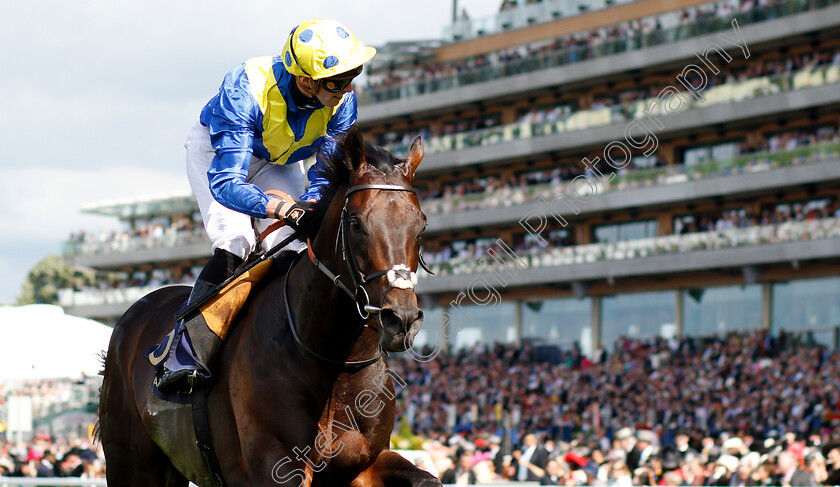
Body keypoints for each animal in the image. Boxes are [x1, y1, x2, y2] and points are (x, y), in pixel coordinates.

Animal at [98, 127, 440, 487]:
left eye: (422, 226)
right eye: (357, 224)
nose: (401, 319)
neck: (334, 361)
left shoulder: (364, 462)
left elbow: (426, 478)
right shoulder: (277, 465)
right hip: (132, 463)